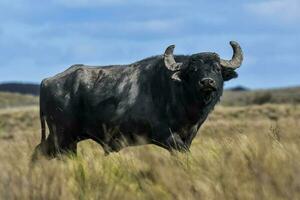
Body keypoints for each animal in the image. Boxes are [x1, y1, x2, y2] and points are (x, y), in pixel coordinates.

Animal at [32, 41, 244, 159]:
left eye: (216, 68)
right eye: (193, 69)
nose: (207, 82)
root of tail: (47, 81)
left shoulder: (188, 137)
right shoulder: (166, 137)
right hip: (64, 138)